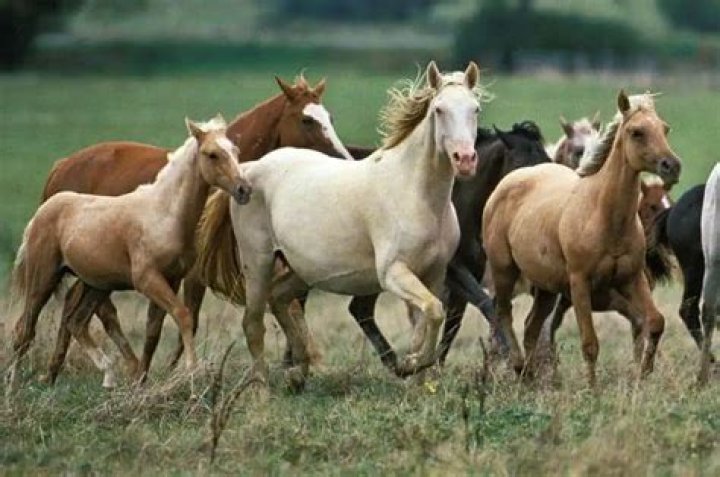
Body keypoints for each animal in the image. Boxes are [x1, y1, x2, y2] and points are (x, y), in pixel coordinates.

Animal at [7, 117, 251, 389]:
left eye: (235, 151)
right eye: (212, 154)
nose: (244, 189)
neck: (164, 214)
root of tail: (43, 210)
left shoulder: (171, 278)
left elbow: (154, 329)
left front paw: (144, 381)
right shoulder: (147, 279)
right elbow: (183, 315)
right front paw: (192, 373)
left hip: (97, 285)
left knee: (76, 322)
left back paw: (109, 376)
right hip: (44, 277)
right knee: (25, 330)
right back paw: (13, 385)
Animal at [35, 75, 353, 385]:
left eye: (330, 118)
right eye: (307, 120)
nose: (345, 161)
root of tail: (60, 167)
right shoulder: (192, 273)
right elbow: (181, 319)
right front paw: (173, 373)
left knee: (76, 305)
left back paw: (56, 370)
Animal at [199, 61, 484, 389]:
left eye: (475, 109)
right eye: (439, 109)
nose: (465, 160)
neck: (415, 193)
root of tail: (247, 172)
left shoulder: (433, 274)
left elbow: (426, 320)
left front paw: (417, 375)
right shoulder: (393, 273)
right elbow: (434, 312)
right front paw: (411, 365)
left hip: (301, 269)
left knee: (279, 298)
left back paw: (298, 371)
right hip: (257, 262)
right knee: (253, 322)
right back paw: (263, 386)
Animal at [483, 91, 681, 386]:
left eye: (665, 128)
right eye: (637, 132)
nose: (672, 166)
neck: (603, 216)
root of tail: (506, 183)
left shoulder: (631, 280)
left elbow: (654, 323)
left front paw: (643, 375)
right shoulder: (579, 284)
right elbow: (590, 343)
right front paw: (593, 389)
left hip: (546, 288)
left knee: (531, 326)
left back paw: (530, 377)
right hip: (504, 271)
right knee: (503, 313)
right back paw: (519, 368)